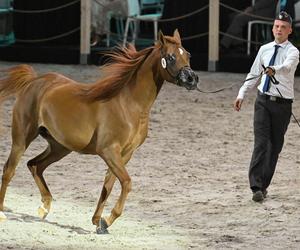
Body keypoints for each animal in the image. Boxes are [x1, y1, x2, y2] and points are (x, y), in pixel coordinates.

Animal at [0, 29, 199, 234]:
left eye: (188, 55)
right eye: (171, 57)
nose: (192, 79)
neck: (128, 105)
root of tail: (34, 81)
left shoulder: (125, 154)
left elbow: (109, 185)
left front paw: (99, 222)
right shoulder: (108, 151)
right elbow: (126, 183)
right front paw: (107, 220)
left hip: (60, 147)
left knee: (35, 165)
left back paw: (44, 208)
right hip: (22, 139)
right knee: (9, 170)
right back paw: (3, 213)